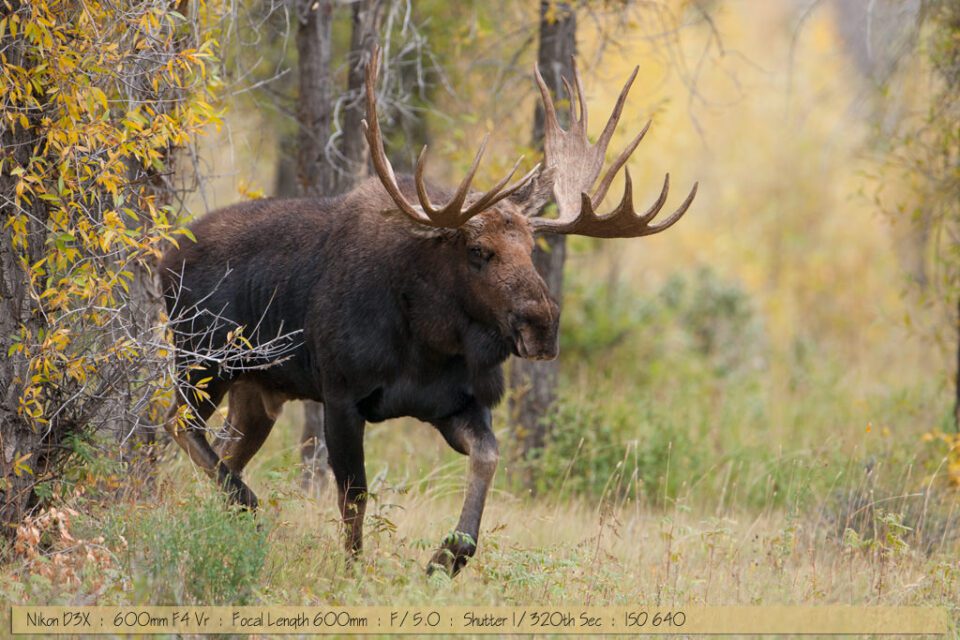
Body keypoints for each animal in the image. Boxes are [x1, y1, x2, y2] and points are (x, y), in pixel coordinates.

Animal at [159, 45, 696, 576]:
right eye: (479, 250)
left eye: (531, 247)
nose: (543, 326)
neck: (427, 342)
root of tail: (164, 259)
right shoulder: (341, 393)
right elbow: (355, 495)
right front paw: (354, 572)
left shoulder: (454, 402)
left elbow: (488, 458)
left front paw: (449, 554)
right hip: (205, 360)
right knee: (178, 424)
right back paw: (246, 508)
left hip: (255, 388)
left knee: (223, 448)